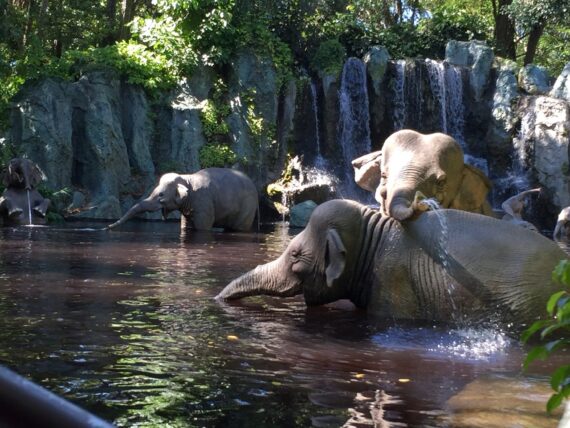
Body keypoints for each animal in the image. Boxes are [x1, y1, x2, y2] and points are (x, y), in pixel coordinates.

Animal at [106, 168, 258, 234]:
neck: (186, 178)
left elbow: (203, 227)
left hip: (247, 208)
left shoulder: (203, 202)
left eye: (161, 195)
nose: (106, 227)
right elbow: (186, 226)